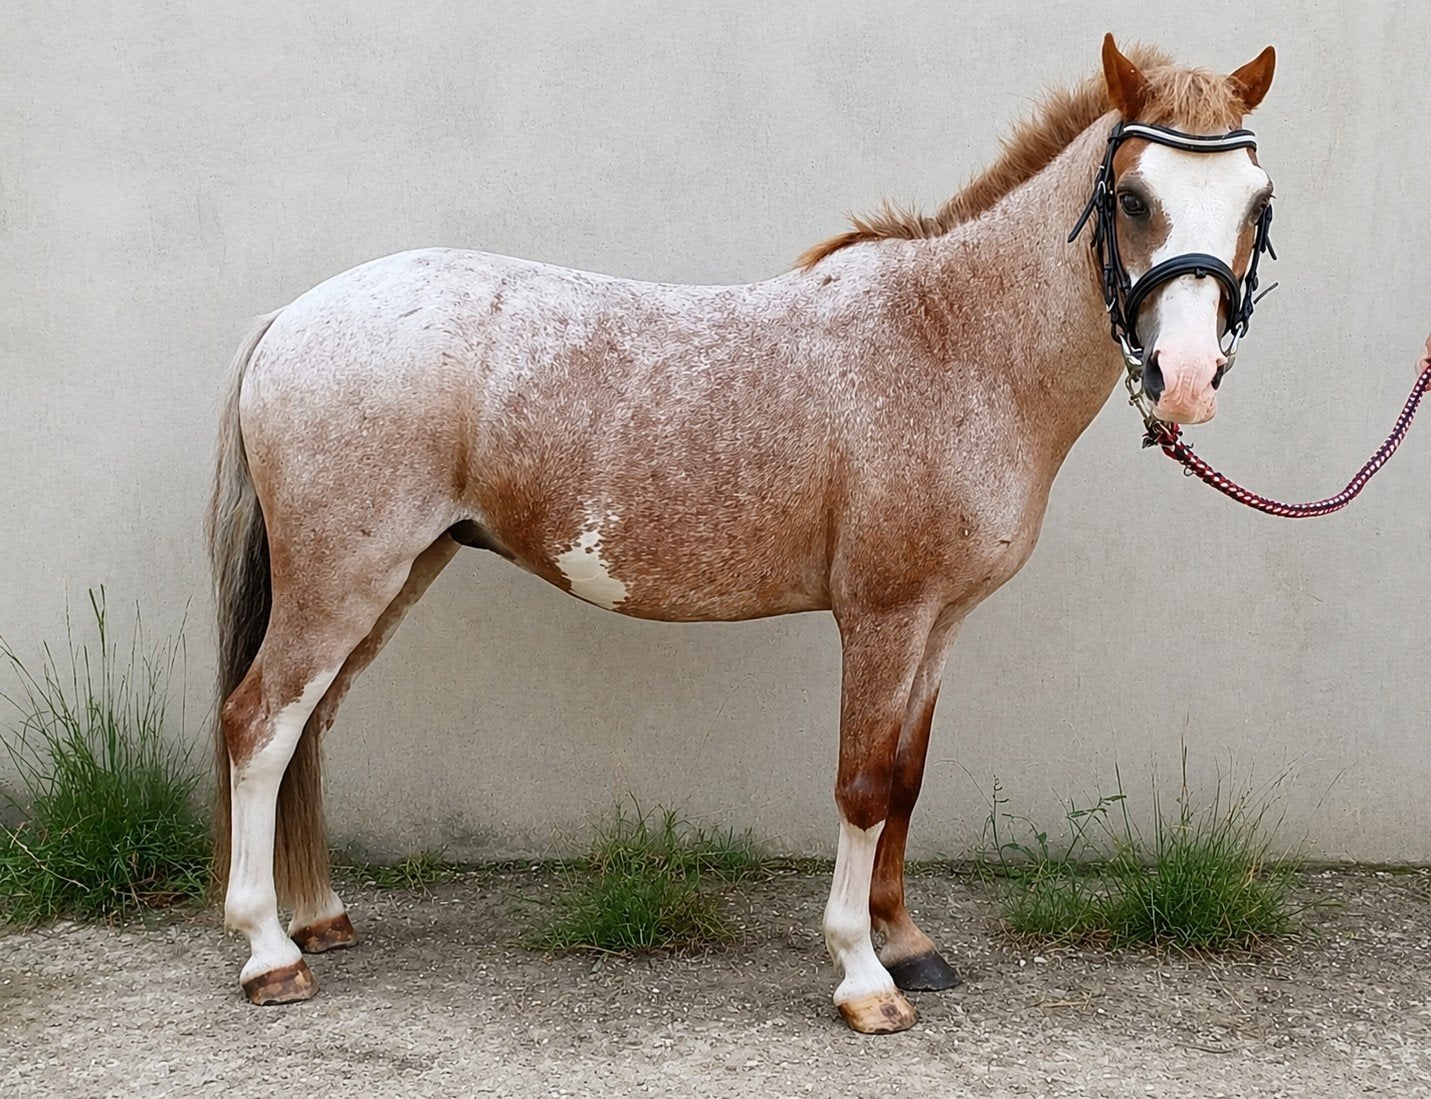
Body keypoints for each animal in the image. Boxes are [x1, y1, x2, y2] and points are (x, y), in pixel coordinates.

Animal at [208, 35, 1278, 1034]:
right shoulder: (882, 616)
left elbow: (906, 779)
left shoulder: (940, 622)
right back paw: (269, 954)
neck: (951, 340)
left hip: (395, 574)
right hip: (342, 578)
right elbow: (862, 784)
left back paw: (320, 918)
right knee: (258, 725)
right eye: (1132, 197)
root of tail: (292, 317)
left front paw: (907, 942)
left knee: (310, 726)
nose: (1186, 377)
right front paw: (863, 976)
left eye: (1255, 203)